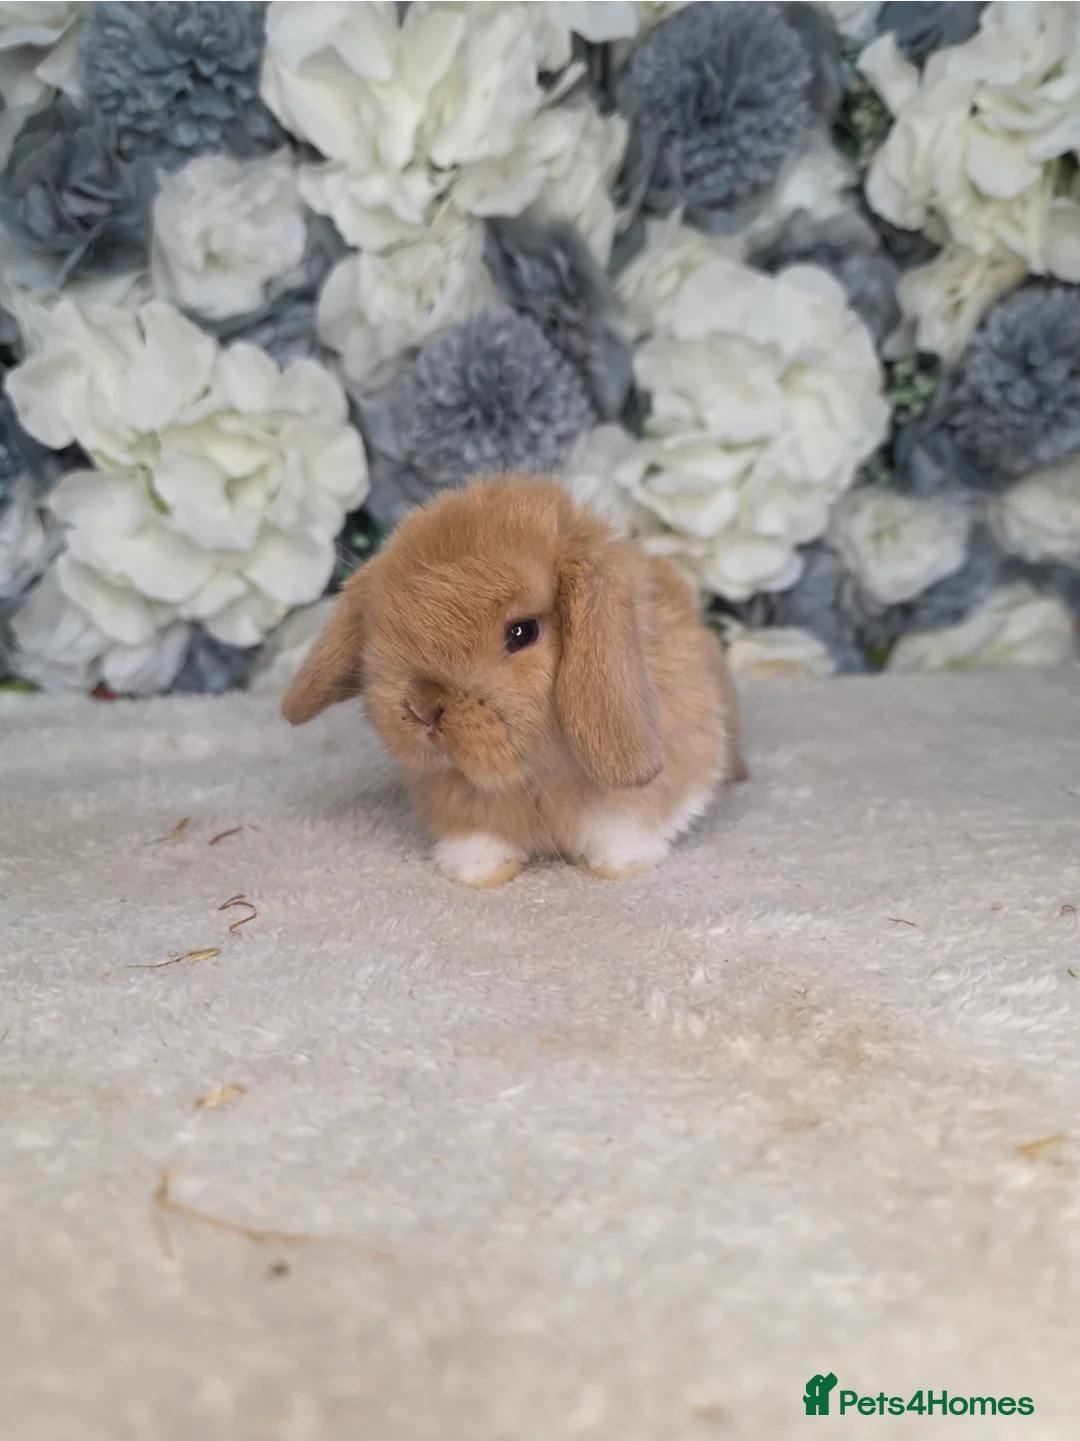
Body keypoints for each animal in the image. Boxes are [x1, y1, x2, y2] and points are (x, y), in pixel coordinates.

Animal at [282, 475, 747, 886]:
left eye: (522, 633)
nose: (422, 707)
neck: (535, 776)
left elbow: (630, 824)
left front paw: (615, 866)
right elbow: (479, 837)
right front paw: (477, 872)